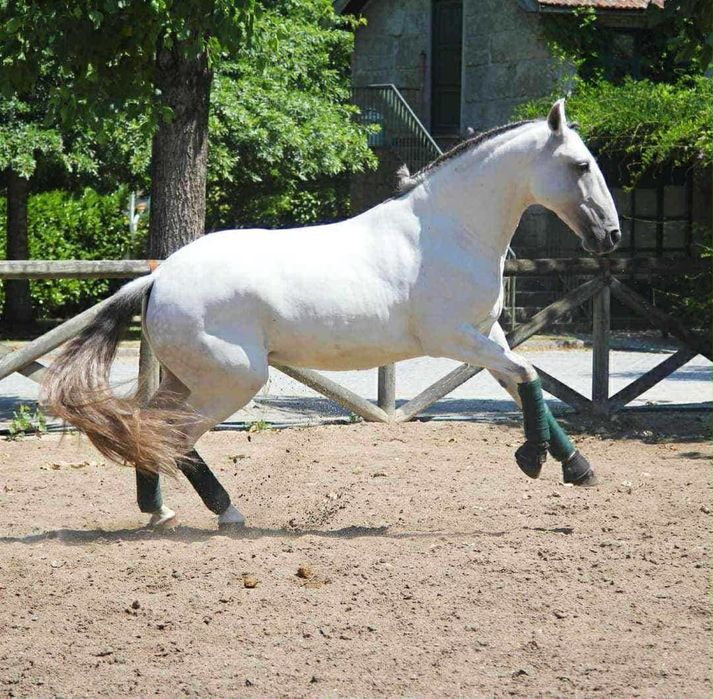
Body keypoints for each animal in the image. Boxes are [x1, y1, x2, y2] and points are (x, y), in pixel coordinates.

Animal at [43, 99, 620, 529]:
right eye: (581, 165)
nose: (610, 236)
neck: (448, 231)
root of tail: (158, 278)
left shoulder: (486, 334)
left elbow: (526, 382)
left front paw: (578, 466)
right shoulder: (451, 338)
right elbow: (527, 374)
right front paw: (533, 460)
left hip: (190, 378)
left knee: (149, 425)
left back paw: (158, 509)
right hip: (233, 379)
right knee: (177, 437)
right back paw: (226, 512)